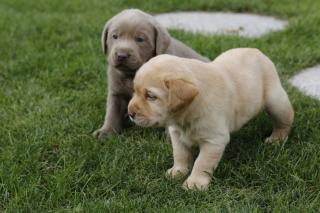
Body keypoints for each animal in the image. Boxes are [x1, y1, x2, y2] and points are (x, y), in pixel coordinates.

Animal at [94, 8, 209, 140]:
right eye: (115, 36)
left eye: (140, 39)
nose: (122, 55)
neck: (133, 73)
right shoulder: (116, 92)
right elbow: (112, 111)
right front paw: (106, 131)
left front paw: (171, 138)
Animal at [129, 47, 294, 190]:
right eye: (135, 91)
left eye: (151, 96)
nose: (130, 113)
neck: (186, 115)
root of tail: (255, 50)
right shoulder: (176, 134)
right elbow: (180, 154)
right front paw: (178, 171)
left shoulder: (214, 140)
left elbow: (202, 163)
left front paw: (194, 183)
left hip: (276, 101)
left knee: (285, 120)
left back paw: (276, 139)